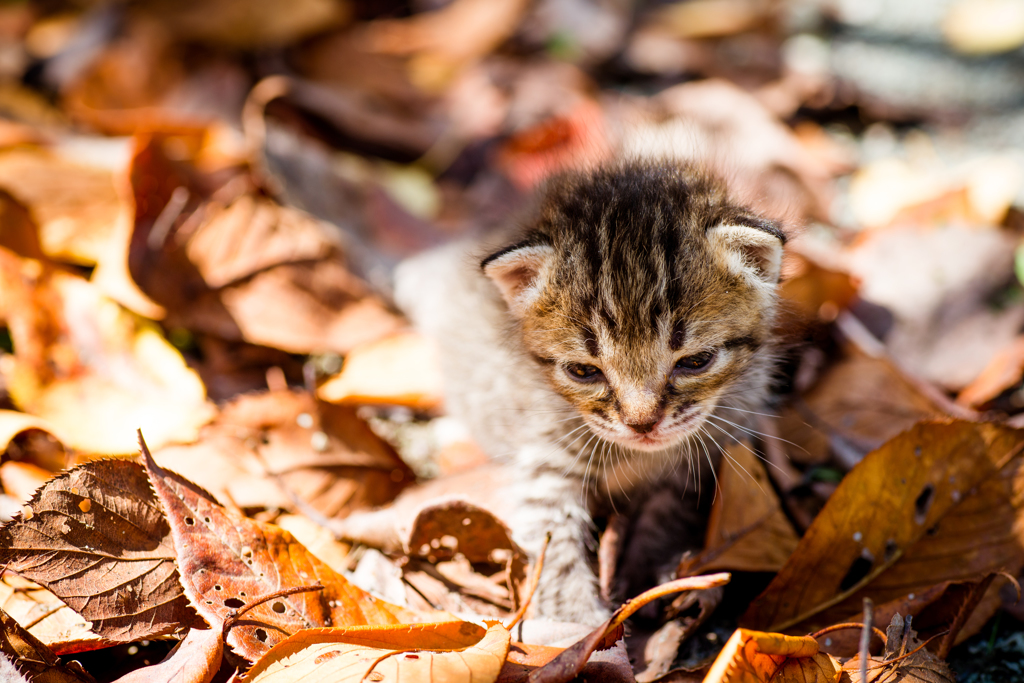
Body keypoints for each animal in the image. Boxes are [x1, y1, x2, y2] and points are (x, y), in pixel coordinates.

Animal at [395, 160, 786, 626]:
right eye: (584, 371)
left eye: (696, 361)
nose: (642, 423)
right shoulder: (544, 464)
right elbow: (552, 544)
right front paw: (577, 625)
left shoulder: (704, 454)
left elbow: (668, 514)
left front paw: (650, 575)